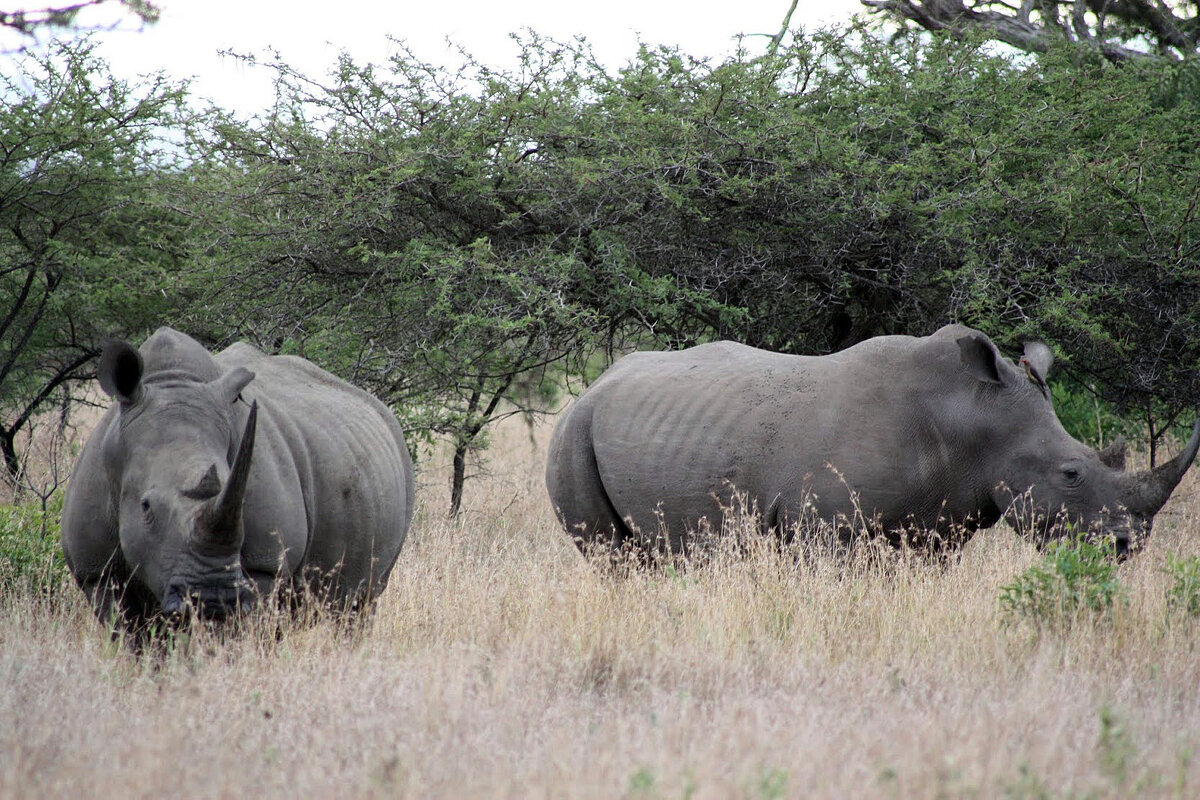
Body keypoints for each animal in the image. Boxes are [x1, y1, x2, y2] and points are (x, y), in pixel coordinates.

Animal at [63, 326, 417, 633]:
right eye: (145, 506)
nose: (211, 600)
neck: (172, 383)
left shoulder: (265, 565)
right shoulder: (97, 573)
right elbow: (133, 635)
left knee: (358, 605)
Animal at [547, 326, 1200, 556]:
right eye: (1071, 473)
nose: (1126, 547)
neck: (971, 418)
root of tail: (595, 385)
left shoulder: (939, 524)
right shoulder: (825, 528)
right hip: (573, 432)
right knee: (609, 555)